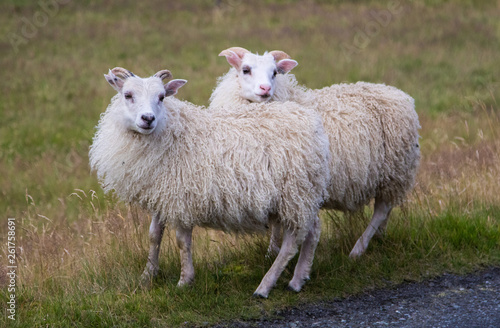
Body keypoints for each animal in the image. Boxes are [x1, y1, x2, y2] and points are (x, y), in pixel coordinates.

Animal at [89, 66, 332, 298]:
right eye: (127, 95)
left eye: (161, 97)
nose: (148, 119)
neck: (172, 132)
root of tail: (312, 122)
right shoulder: (162, 194)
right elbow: (153, 236)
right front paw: (147, 276)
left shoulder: (182, 197)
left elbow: (182, 242)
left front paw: (185, 281)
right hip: (302, 194)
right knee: (312, 232)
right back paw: (297, 280)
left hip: (294, 193)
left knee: (292, 243)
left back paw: (265, 287)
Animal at [209, 47, 420, 260]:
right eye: (245, 70)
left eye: (275, 72)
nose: (265, 89)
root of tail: (402, 96)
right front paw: (272, 252)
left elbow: (279, 224)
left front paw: (274, 252)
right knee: (386, 209)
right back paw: (379, 237)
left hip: (394, 170)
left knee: (381, 210)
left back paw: (358, 249)